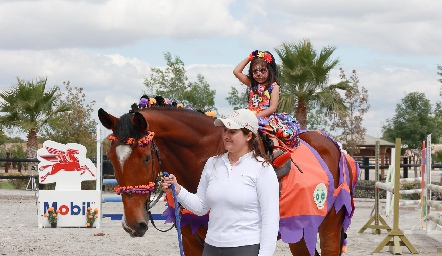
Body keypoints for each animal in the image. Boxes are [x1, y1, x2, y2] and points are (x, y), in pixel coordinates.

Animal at [98, 107, 358, 255]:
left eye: (146, 157)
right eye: (110, 157)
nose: (133, 225)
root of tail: (335, 147)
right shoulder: (192, 240)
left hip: (325, 226)